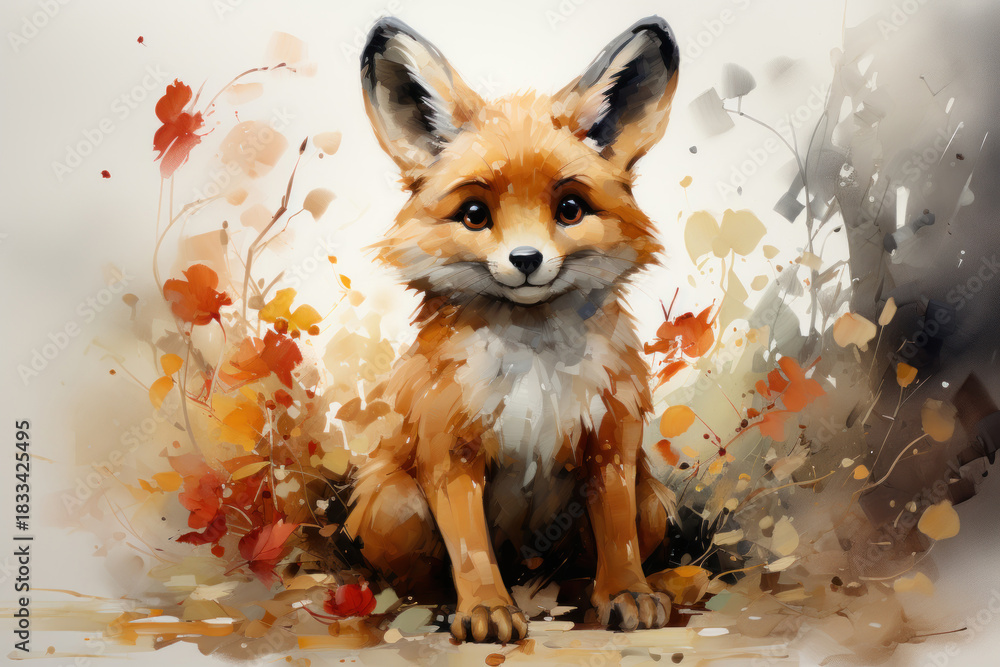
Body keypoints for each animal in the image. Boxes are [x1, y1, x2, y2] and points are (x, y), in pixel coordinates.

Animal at [344, 16, 681, 643]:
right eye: (476, 215)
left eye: (570, 208)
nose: (526, 260)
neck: (534, 363)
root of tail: (530, 572)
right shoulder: (449, 450)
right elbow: (471, 549)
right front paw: (484, 608)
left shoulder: (612, 445)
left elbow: (618, 536)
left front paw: (627, 593)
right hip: (395, 505)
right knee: (424, 576)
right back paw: (448, 608)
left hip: (652, 502)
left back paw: (582, 594)